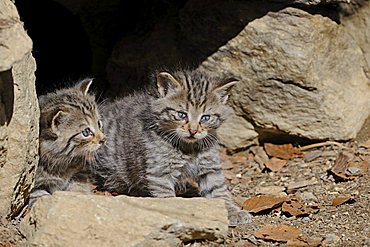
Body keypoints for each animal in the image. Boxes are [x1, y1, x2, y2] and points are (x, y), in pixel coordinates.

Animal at [94, 69, 253, 226]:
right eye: (181, 115)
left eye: (205, 118)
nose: (193, 131)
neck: (189, 147)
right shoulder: (160, 171)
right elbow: (166, 196)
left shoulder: (209, 165)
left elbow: (218, 189)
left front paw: (232, 211)